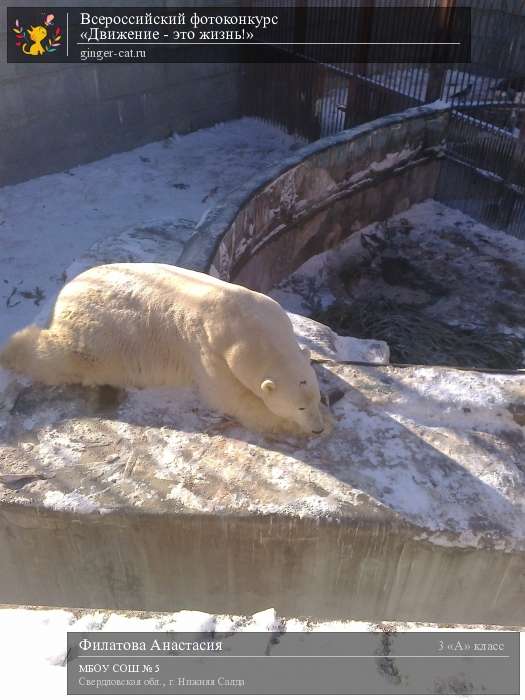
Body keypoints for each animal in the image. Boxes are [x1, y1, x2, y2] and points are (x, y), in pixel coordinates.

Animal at [0, 264, 328, 434]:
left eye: (316, 397)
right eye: (299, 407)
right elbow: (231, 398)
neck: (248, 323)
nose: (317, 429)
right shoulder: (208, 351)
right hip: (96, 336)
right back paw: (14, 349)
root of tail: (67, 291)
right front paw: (288, 426)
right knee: (62, 355)